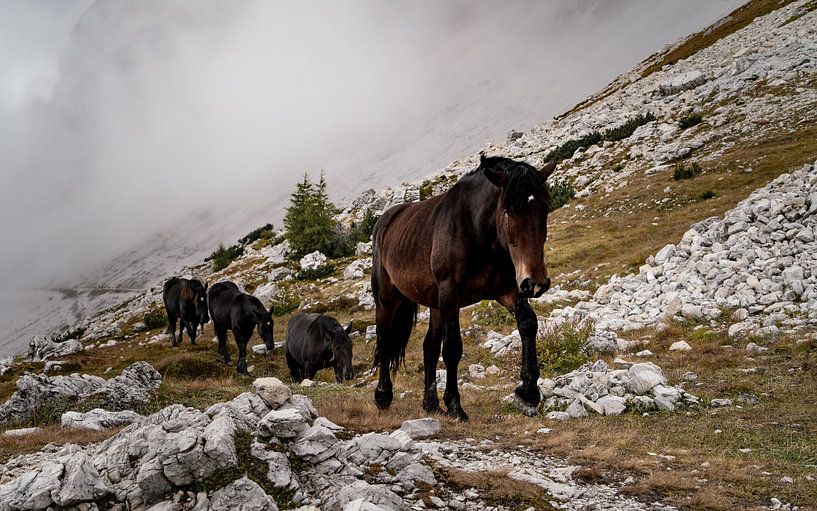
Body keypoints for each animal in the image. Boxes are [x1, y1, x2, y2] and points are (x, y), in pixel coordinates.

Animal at [371, 154, 557, 420]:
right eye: (508, 212)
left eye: (545, 209)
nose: (536, 283)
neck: (476, 231)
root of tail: (384, 221)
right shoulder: (451, 297)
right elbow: (452, 348)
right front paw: (455, 405)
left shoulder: (507, 291)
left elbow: (528, 323)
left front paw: (528, 391)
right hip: (388, 300)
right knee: (385, 340)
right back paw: (383, 395)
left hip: (434, 303)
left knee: (429, 345)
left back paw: (430, 403)